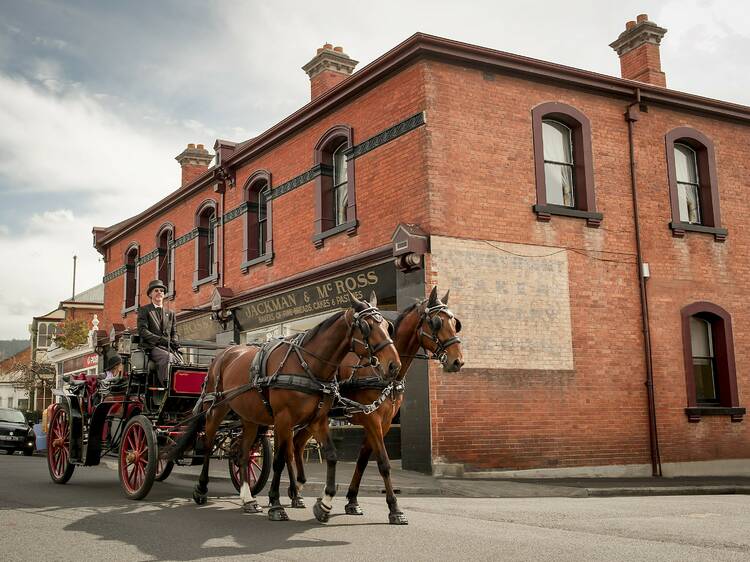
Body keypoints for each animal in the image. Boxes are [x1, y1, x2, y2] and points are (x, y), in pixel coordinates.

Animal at [164, 294, 400, 520]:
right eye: (367, 326)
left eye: (387, 326)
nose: (394, 365)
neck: (308, 365)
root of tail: (223, 354)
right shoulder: (283, 418)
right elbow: (278, 461)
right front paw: (276, 505)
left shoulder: (317, 420)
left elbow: (331, 455)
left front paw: (324, 504)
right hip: (215, 409)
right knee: (207, 445)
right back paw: (201, 489)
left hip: (250, 418)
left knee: (242, 454)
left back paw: (248, 499)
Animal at [292, 286, 464, 524]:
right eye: (436, 323)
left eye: (455, 322)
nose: (457, 361)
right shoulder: (371, 419)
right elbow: (383, 463)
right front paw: (395, 508)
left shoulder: (382, 422)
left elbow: (363, 460)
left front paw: (352, 501)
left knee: (297, 443)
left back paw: (296, 492)